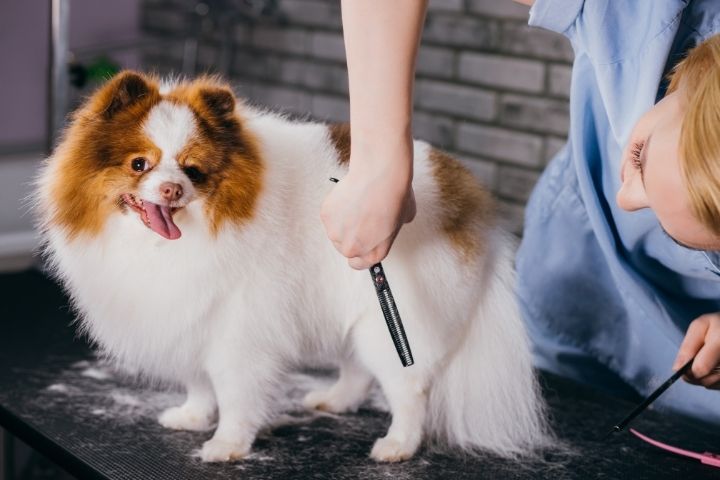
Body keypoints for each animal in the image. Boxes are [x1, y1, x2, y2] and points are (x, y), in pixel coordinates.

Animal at [35, 70, 552, 462]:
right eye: (139, 164)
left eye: (193, 170)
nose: (172, 190)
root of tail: (467, 195)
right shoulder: (190, 315)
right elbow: (198, 379)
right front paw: (192, 416)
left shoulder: (239, 330)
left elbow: (234, 392)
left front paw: (226, 444)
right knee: (357, 369)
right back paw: (334, 401)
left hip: (393, 318)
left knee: (410, 388)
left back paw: (397, 446)